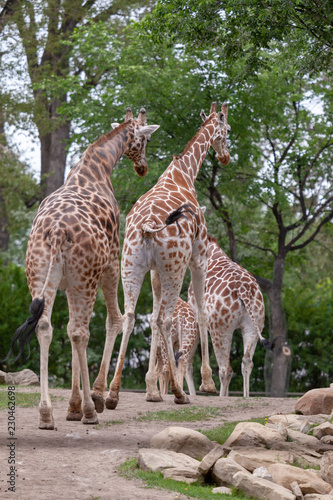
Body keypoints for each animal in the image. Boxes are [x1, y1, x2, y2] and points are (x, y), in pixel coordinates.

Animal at [3, 108, 160, 430]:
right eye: (146, 139)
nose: (142, 168)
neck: (98, 166)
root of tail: (56, 232)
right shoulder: (111, 262)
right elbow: (113, 321)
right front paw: (94, 400)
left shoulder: (65, 282)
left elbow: (62, 328)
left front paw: (71, 407)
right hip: (86, 279)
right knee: (81, 332)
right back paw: (89, 410)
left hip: (40, 275)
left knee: (45, 326)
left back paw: (46, 414)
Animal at [105, 101, 230, 410]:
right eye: (228, 130)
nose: (225, 157)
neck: (184, 172)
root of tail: (149, 226)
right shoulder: (199, 256)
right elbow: (200, 313)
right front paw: (207, 383)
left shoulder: (153, 271)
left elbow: (150, 317)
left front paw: (151, 389)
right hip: (175, 268)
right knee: (166, 319)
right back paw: (179, 393)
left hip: (131, 266)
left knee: (130, 315)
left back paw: (112, 393)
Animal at [187, 235, 270, 398]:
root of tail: (243, 291)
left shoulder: (195, 312)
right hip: (253, 324)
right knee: (247, 361)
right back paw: (245, 397)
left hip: (220, 328)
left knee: (226, 369)